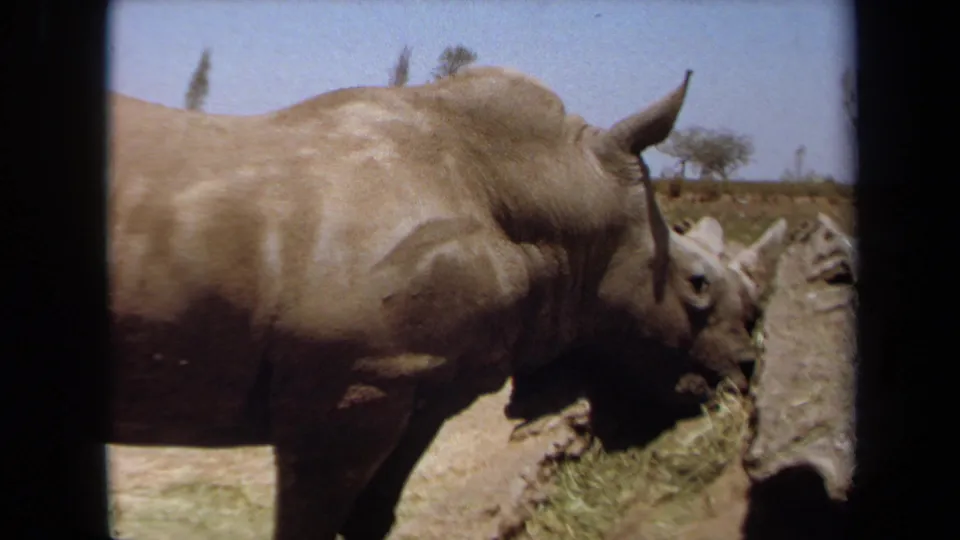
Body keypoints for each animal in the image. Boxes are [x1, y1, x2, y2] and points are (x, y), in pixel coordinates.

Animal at [108, 66, 785, 539]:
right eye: (697, 283)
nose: (746, 369)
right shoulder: (351, 381)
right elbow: (310, 520)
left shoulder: (420, 381)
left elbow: (374, 513)